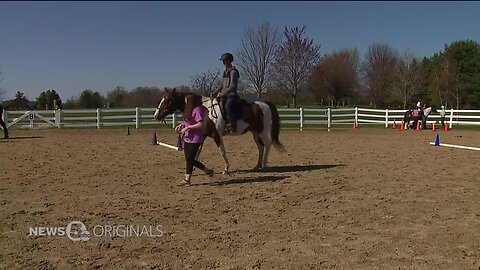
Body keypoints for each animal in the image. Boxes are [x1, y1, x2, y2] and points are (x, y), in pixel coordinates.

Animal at [153, 88, 284, 173]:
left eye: (168, 100)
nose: (156, 115)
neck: (206, 111)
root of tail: (265, 104)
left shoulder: (216, 135)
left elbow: (222, 151)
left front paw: (226, 168)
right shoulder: (203, 135)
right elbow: (197, 152)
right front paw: (194, 168)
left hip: (262, 131)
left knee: (267, 144)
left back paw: (265, 165)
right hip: (255, 132)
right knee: (260, 147)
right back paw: (257, 166)